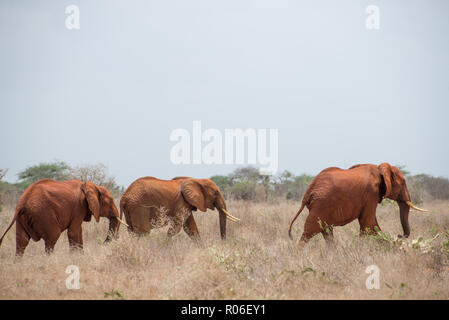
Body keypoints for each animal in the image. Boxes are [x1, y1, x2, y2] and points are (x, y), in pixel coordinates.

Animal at [0, 180, 130, 255]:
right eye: (111, 201)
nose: (101, 243)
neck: (91, 186)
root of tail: (22, 202)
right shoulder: (78, 206)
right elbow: (74, 232)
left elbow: (78, 232)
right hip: (44, 214)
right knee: (52, 237)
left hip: (22, 218)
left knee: (21, 241)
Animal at [288, 164, 428, 244]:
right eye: (403, 183)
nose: (399, 235)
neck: (380, 168)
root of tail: (308, 191)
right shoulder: (371, 194)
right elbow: (369, 225)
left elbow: (370, 224)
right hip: (321, 204)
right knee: (309, 232)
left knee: (326, 231)